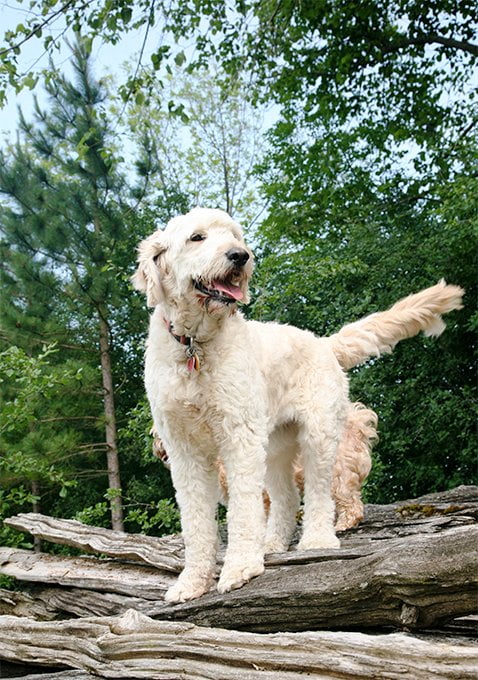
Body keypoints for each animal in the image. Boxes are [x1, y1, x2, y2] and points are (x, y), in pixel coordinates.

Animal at [133, 207, 464, 600]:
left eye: (235, 236)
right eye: (197, 237)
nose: (240, 256)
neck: (195, 346)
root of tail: (324, 343)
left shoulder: (239, 438)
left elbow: (243, 510)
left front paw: (240, 568)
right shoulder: (185, 450)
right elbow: (196, 521)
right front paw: (192, 581)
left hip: (318, 438)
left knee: (321, 494)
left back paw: (318, 540)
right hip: (275, 447)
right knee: (287, 498)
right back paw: (272, 543)